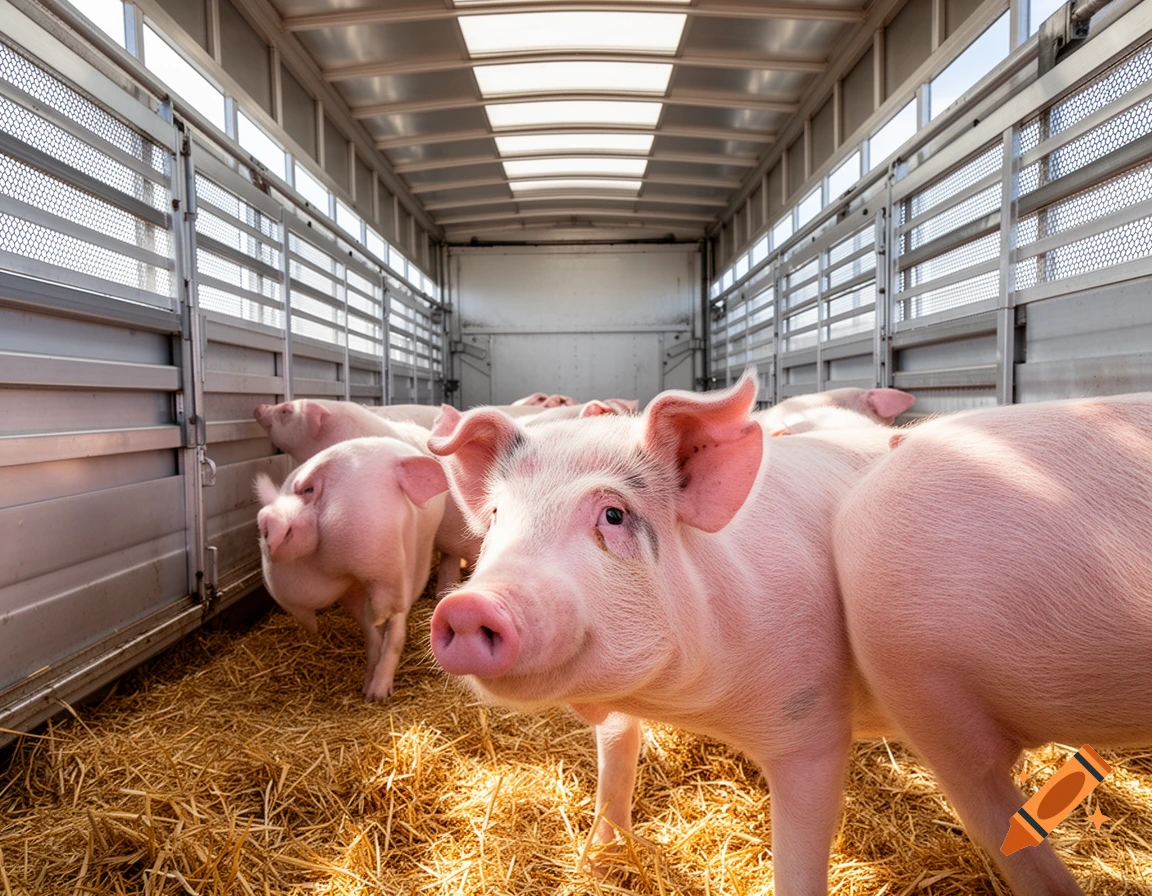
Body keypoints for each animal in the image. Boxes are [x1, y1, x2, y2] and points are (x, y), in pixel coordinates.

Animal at [255, 437, 449, 700]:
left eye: (308, 490)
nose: (266, 517)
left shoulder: (392, 571)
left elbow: (394, 622)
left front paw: (378, 697)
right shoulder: (350, 587)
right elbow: (369, 627)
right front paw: (368, 690)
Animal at [426, 372, 897, 894]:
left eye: (613, 514)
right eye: (495, 516)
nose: (468, 605)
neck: (687, 706)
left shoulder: (812, 729)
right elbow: (616, 765)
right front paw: (599, 866)